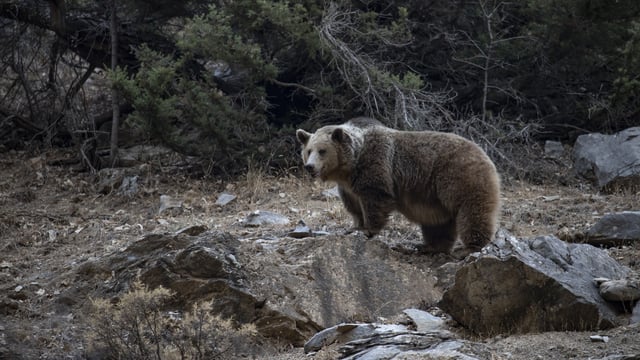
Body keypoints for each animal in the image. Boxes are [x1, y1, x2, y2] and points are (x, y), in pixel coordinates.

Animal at [296, 117, 500, 253]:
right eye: (308, 150)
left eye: (322, 150)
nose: (310, 167)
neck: (350, 166)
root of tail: (484, 153)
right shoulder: (348, 187)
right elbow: (354, 207)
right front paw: (354, 227)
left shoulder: (375, 166)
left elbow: (375, 198)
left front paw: (367, 229)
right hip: (435, 197)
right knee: (439, 224)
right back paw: (429, 246)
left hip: (458, 176)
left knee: (471, 209)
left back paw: (469, 247)